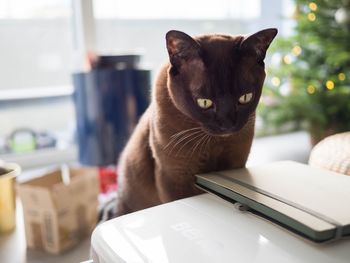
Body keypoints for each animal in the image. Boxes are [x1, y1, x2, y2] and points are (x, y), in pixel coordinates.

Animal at [116, 28, 278, 217]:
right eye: (204, 102)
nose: (227, 124)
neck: (214, 144)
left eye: (245, 98)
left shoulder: (236, 162)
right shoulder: (175, 177)